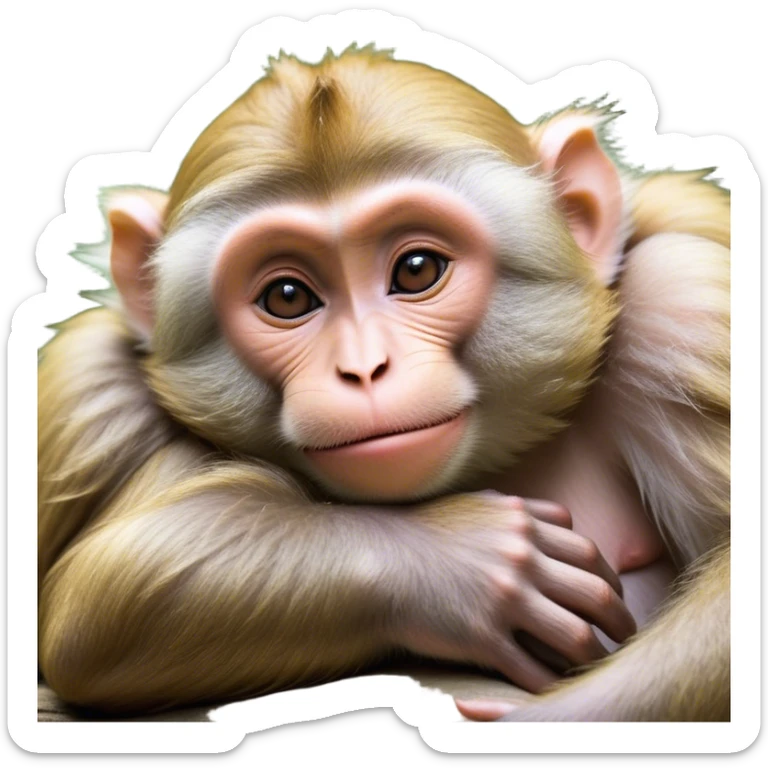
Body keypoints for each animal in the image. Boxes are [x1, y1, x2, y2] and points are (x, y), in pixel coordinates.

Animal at [37, 46, 729, 721]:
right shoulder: (91, 388)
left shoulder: (683, 306)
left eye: (417, 268)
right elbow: (103, 598)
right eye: (287, 297)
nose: (364, 367)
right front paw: (457, 561)